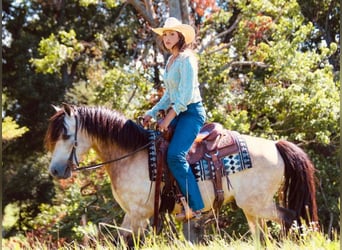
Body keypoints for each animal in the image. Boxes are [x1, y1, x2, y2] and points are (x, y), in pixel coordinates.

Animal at [44, 103, 318, 242]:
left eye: (66, 134)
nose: (55, 170)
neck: (132, 154)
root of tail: (275, 146)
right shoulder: (137, 215)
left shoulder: (138, 214)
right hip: (252, 207)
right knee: (262, 235)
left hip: (259, 204)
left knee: (290, 218)